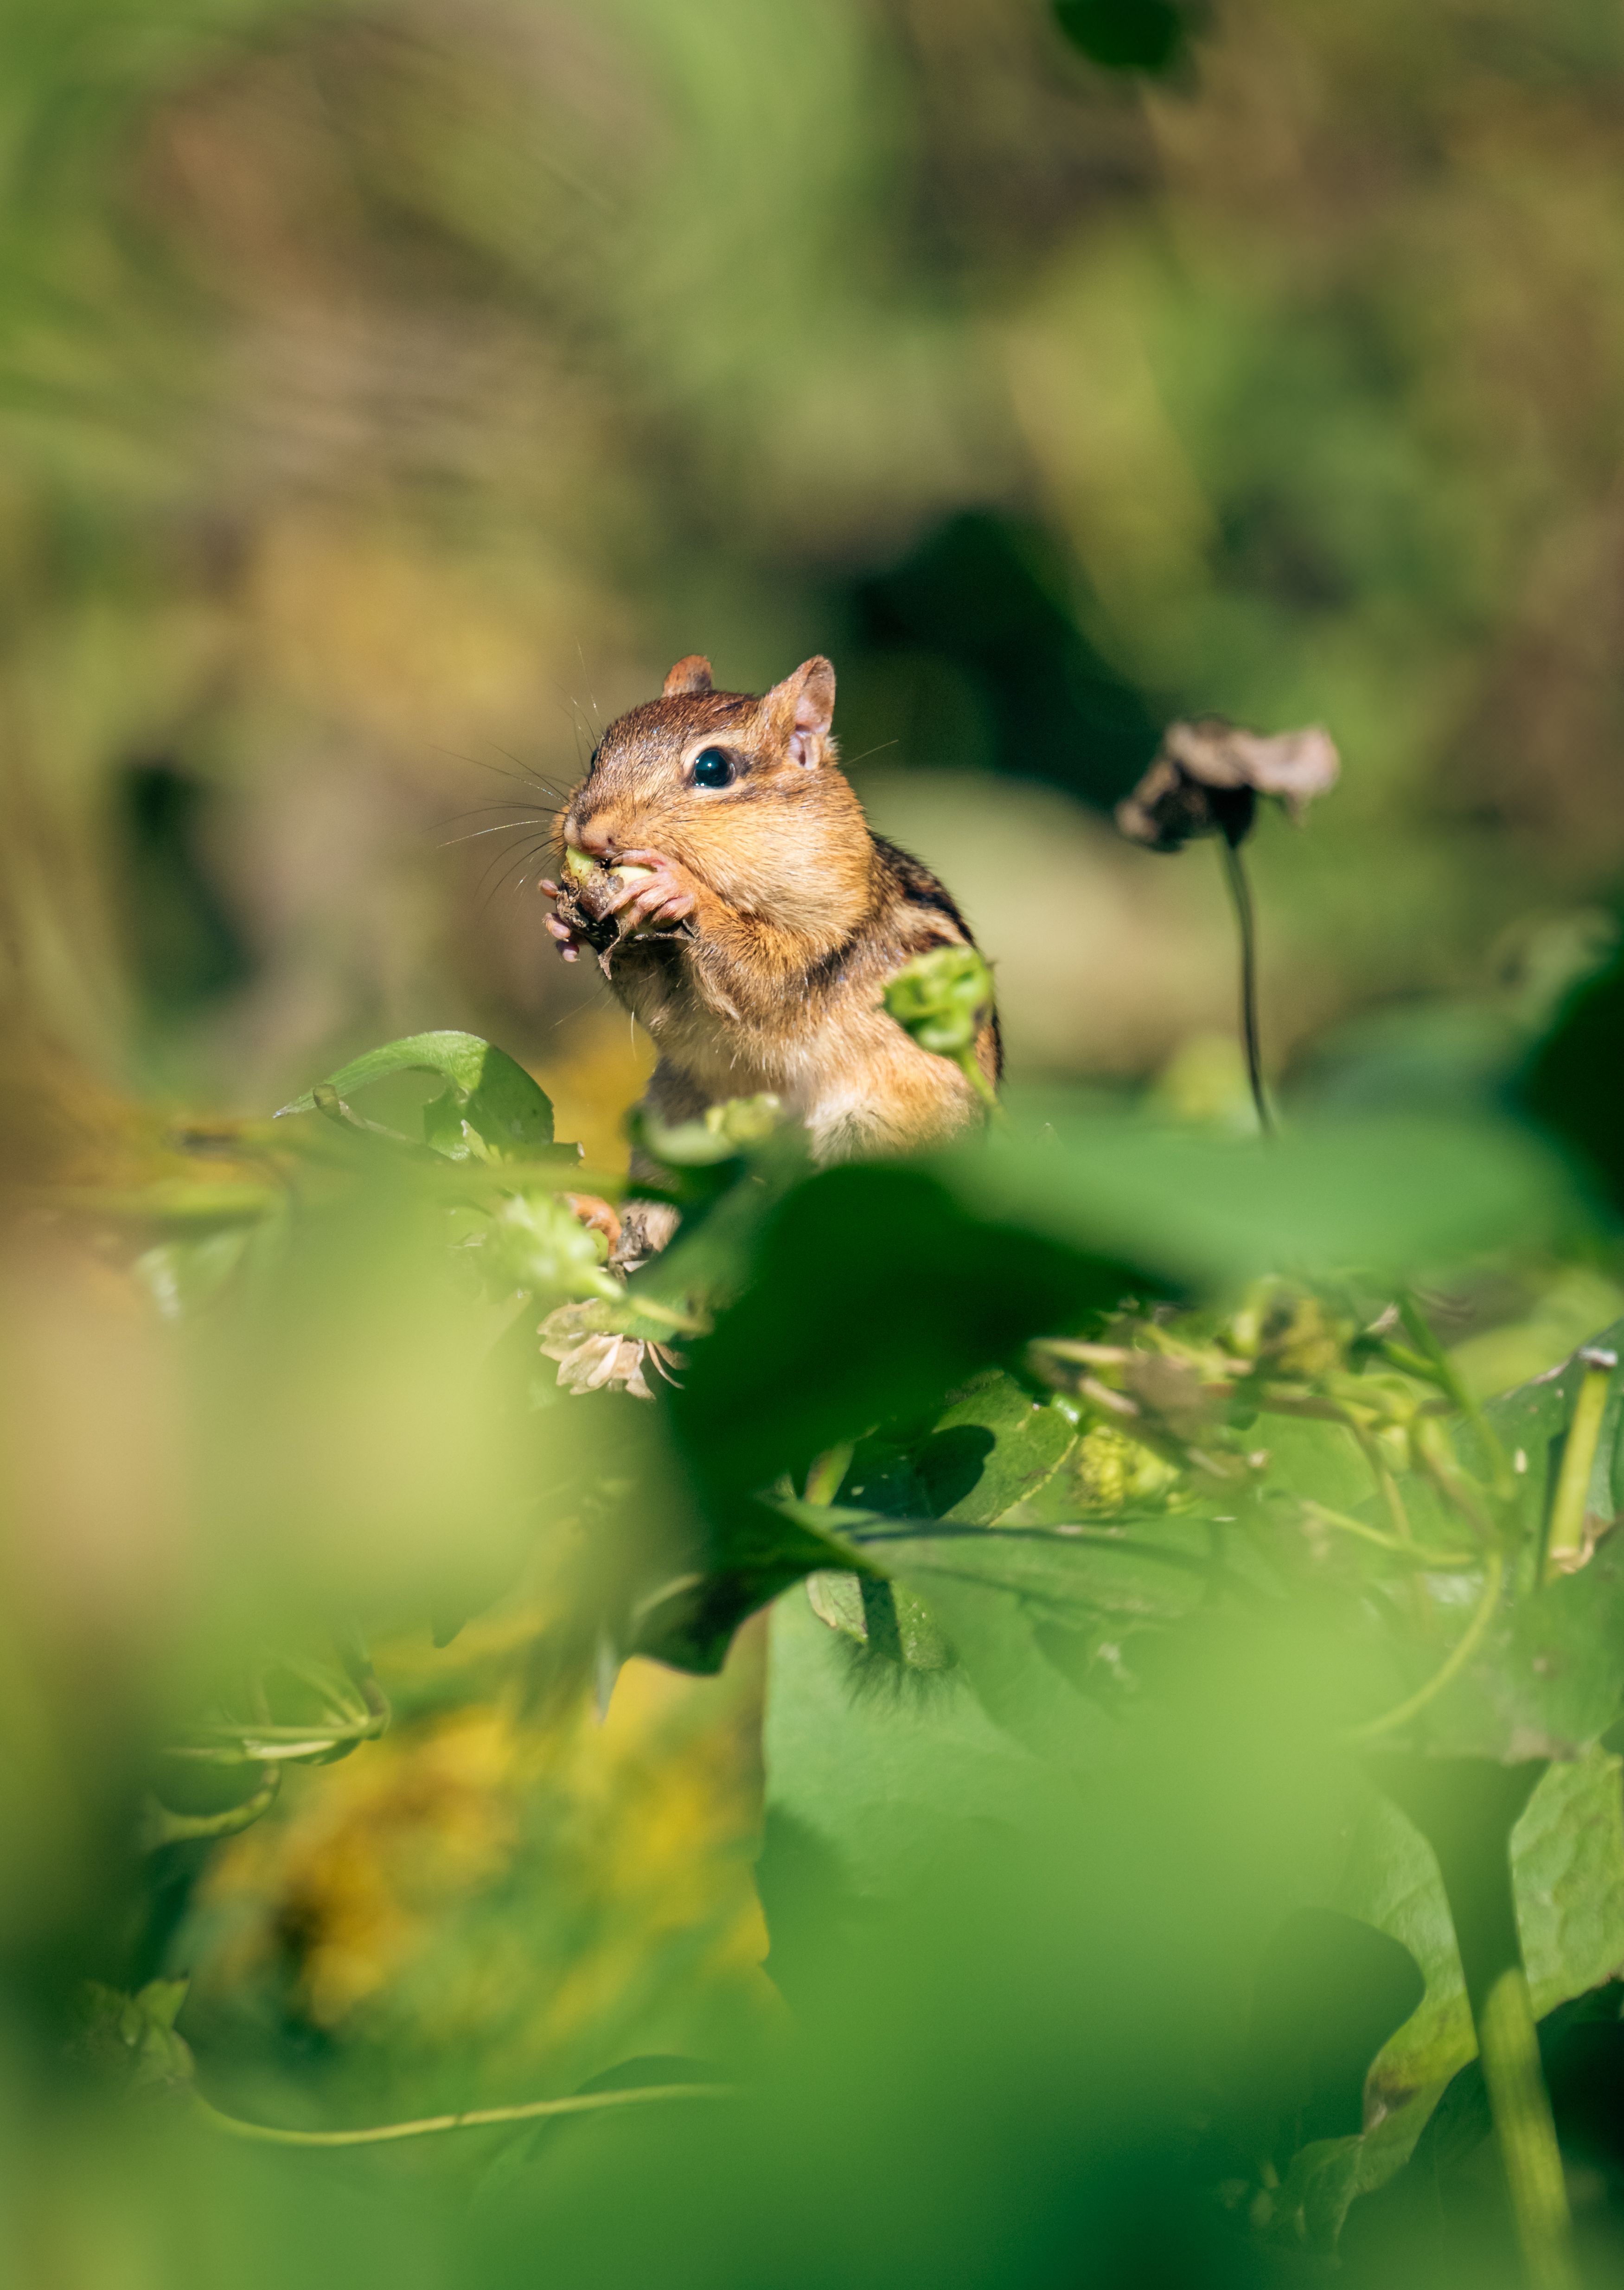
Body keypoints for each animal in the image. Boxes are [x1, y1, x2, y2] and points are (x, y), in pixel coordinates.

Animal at [541, 654, 1001, 1171]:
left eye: (714, 768)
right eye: (598, 754)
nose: (587, 832)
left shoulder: (821, 950)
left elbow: (766, 980)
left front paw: (681, 889)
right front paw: (560, 918)